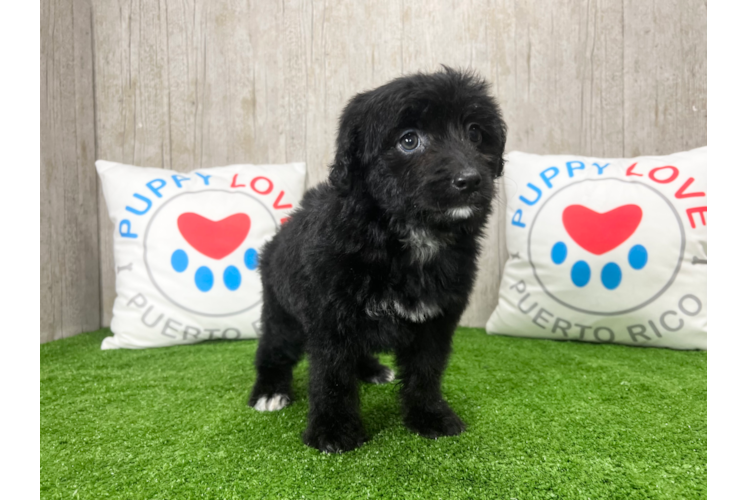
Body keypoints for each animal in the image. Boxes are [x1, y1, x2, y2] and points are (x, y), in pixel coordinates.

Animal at [248, 66, 506, 454]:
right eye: (409, 140)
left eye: (475, 133)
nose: (470, 179)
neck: (403, 236)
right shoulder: (330, 317)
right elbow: (332, 375)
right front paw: (333, 431)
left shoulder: (436, 318)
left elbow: (426, 370)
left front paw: (430, 416)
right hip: (282, 310)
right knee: (274, 348)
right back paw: (269, 391)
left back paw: (371, 370)